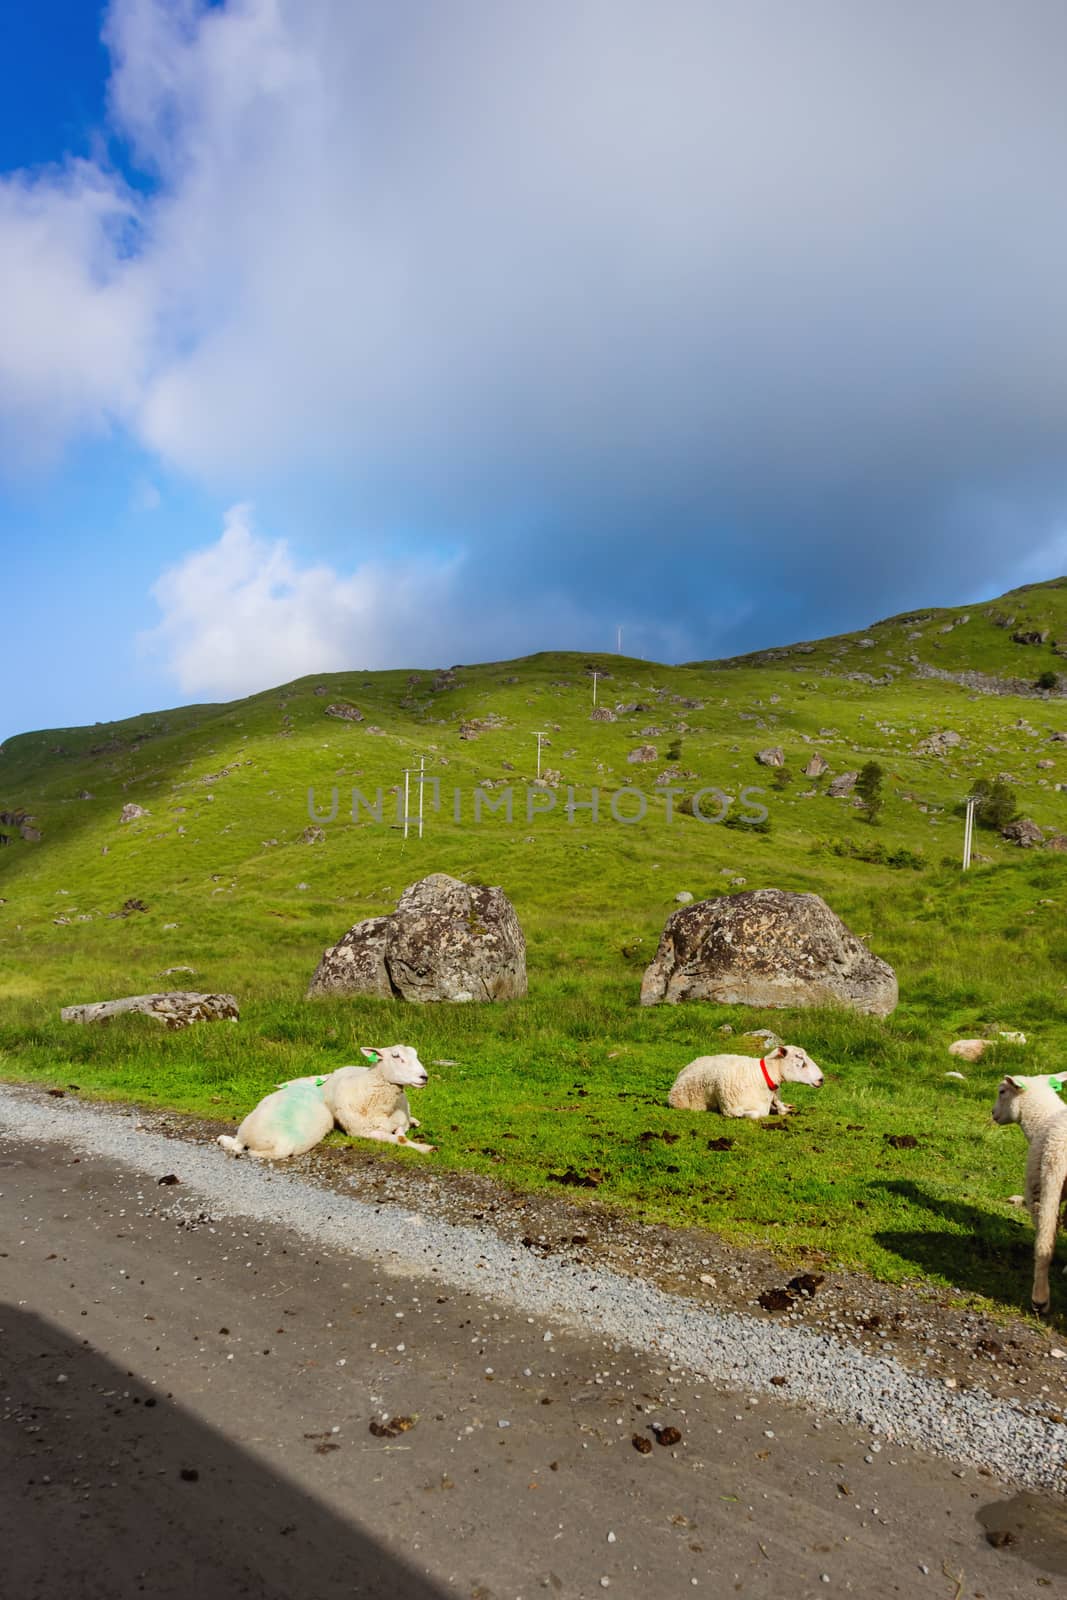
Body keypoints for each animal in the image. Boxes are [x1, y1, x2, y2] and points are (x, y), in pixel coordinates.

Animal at [668, 1043, 825, 1120]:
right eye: (799, 1057)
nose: (821, 1079)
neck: (761, 1076)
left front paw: (785, 1108)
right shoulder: (730, 1109)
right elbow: (755, 1115)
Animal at [991, 1075, 1067, 1312]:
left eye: (1002, 1091)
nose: (992, 1113)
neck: (1044, 1118)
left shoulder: (1037, 1185)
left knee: (1044, 1240)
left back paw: (1039, 1298)